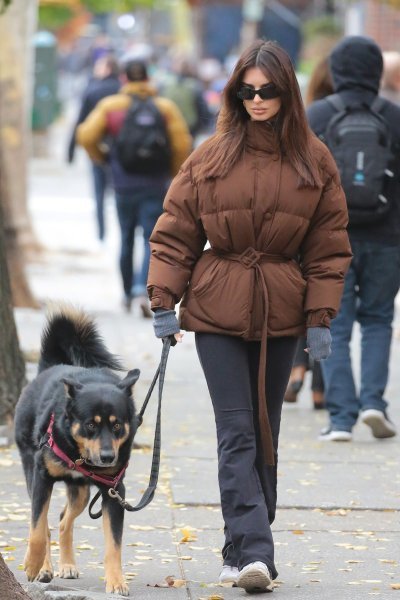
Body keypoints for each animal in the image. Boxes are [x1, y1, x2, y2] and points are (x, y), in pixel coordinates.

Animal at [14, 308, 140, 596]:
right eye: (90, 424)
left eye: (117, 425)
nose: (108, 457)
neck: (78, 454)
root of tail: (50, 367)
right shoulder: (42, 477)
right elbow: (37, 529)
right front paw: (33, 565)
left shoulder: (114, 492)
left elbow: (114, 544)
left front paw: (116, 581)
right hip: (32, 472)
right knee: (46, 524)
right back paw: (45, 568)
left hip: (81, 492)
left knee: (63, 520)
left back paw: (67, 565)